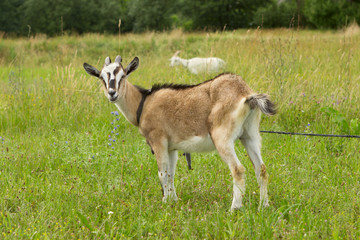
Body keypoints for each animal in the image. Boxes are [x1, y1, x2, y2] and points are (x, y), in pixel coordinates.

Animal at [83, 55, 276, 210]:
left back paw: (234, 208)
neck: (143, 104)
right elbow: (171, 173)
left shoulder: (158, 140)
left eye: (122, 76)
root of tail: (246, 94)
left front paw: (165, 203)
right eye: (101, 77)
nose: (112, 93)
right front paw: (172, 200)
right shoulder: (172, 147)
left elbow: (162, 172)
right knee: (261, 168)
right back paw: (263, 206)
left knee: (238, 169)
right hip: (250, 135)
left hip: (222, 137)